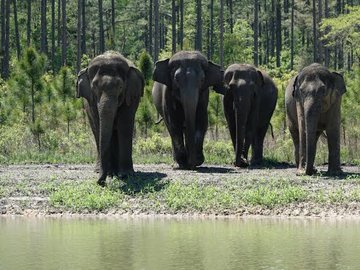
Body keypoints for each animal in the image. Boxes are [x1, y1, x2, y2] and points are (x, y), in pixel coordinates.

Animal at [76, 51, 144, 186]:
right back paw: (104, 171)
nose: (101, 182)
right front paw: (109, 174)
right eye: (94, 87)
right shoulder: (91, 102)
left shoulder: (130, 97)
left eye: (120, 87)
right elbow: (98, 125)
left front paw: (126, 175)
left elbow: (124, 125)